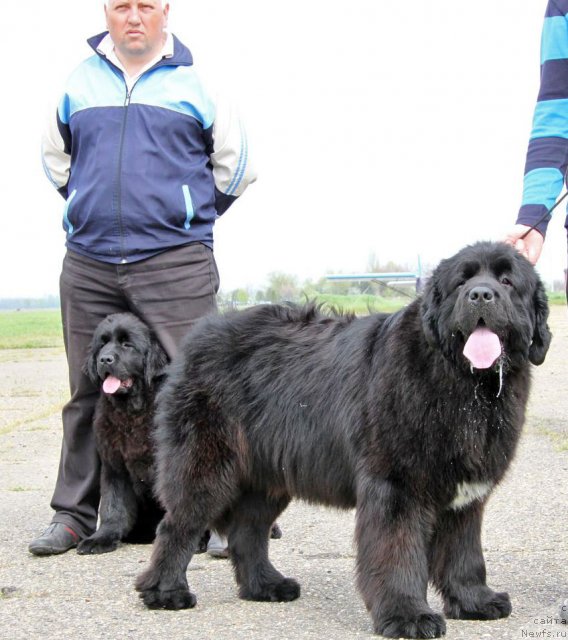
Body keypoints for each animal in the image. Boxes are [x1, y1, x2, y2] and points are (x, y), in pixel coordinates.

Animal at [77, 312, 169, 552]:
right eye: (102, 344)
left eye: (127, 345)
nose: (105, 359)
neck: (132, 413)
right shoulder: (114, 464)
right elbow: (113, 505)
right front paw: (101, 538)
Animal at [134, 242, 552, 636]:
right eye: (461, 283)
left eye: (507, 281)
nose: (480, 295)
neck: (465, 384)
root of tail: (201, 335)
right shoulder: (396, 486)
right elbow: (398, 553)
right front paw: (407, 615)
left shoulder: (466, 498)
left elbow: (464, 555)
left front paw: (475, 601)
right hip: (206, 465)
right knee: (177, 525)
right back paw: (166, 592)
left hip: (268, 475)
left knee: (246, 531)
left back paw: (266, 586)